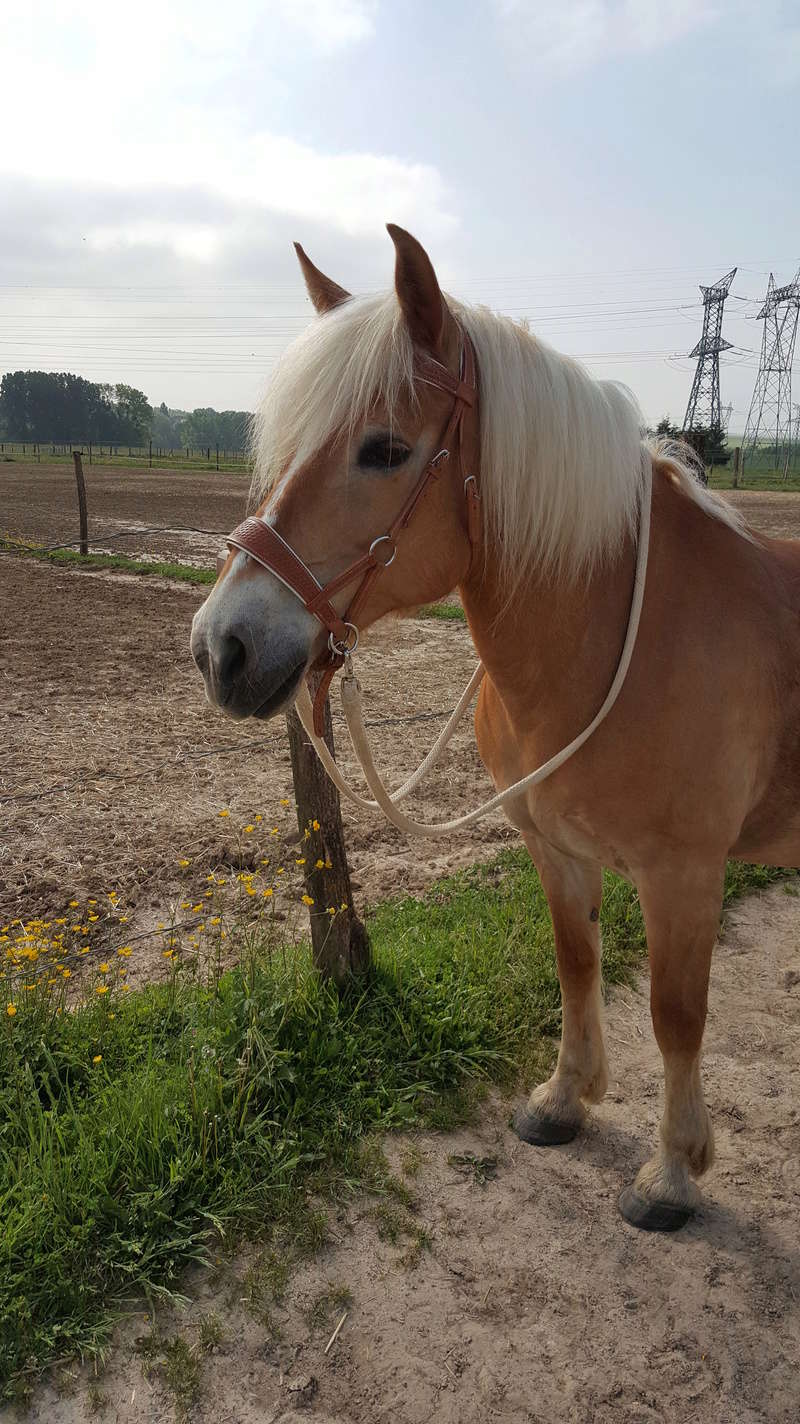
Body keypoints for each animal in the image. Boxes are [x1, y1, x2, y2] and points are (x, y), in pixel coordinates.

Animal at [192, 224, 797, 1236]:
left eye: (385, 448)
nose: (220, 648)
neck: (618, 634)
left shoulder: (684, 873)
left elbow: (677, 1013)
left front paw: (672, 1174)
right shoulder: (555, 846)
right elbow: (577, 962)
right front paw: (565, 1100)